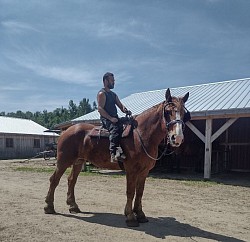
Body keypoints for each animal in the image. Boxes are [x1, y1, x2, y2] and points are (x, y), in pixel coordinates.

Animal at [44, 88, 188, 227]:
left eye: (183, 113)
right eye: (168, 111)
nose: (177, 138)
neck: (141, 135)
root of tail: (66, 131)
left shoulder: (144, 171)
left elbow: (140, 192)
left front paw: (140, 214)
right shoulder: (131, 170)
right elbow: (130, 192)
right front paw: (130, 217)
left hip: (78, 162)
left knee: (71, 180)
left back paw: (73, 206)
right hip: (63, 161)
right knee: (54, 180)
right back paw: (49, 207)